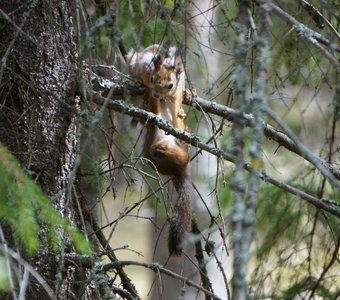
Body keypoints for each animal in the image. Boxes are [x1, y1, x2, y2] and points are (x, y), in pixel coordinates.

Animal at [126, 44, 193, 255]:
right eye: (153, 78)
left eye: (170, 84)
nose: (156, 93)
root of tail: (179, 173)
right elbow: (152, 106)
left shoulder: (174, 94)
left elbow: (175, 106)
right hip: (157, 153)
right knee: (178, 156)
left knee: (184, 154)